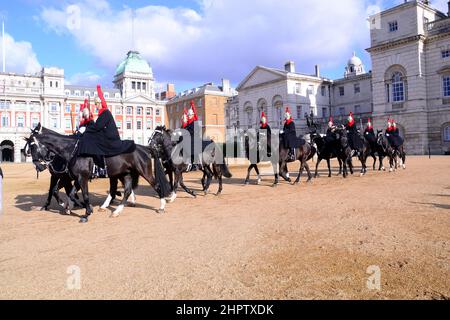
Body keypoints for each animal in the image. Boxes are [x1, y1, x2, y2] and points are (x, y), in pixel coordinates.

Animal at [27, 124, 173, 224]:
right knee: (125, 191)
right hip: (124, 174)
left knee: (156, 186)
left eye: (32, 145)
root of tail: (144, 147)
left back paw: (161, 206)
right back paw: (116, 210)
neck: (72, 150)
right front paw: (70, 206)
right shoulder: (74, 178)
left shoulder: (80, 178)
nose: (38, 166)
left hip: (144, 172)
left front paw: (86, 213)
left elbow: (82, 195)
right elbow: (67, 193)